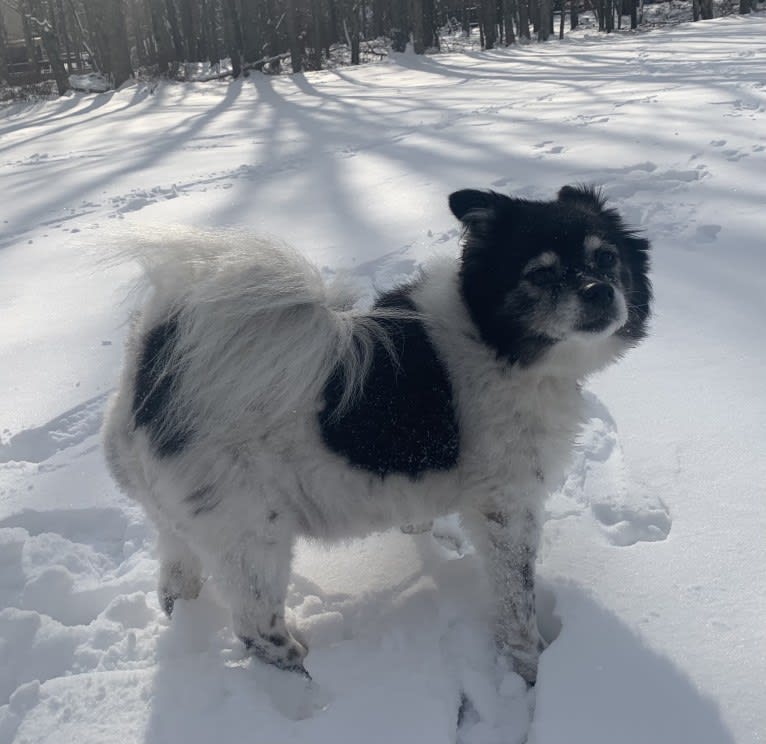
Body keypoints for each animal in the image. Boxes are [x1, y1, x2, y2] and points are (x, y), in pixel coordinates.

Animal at [103, 183, 656, 684]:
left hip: (180, 528)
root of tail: (149, 379)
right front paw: (531, 667)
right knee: (256, 629)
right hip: (252, 536)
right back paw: (308, 678)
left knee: (175, 587)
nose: (600, 291)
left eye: (606, 258)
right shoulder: (506, 506)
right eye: (540, 273)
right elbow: (516, 601)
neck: (492, 337)